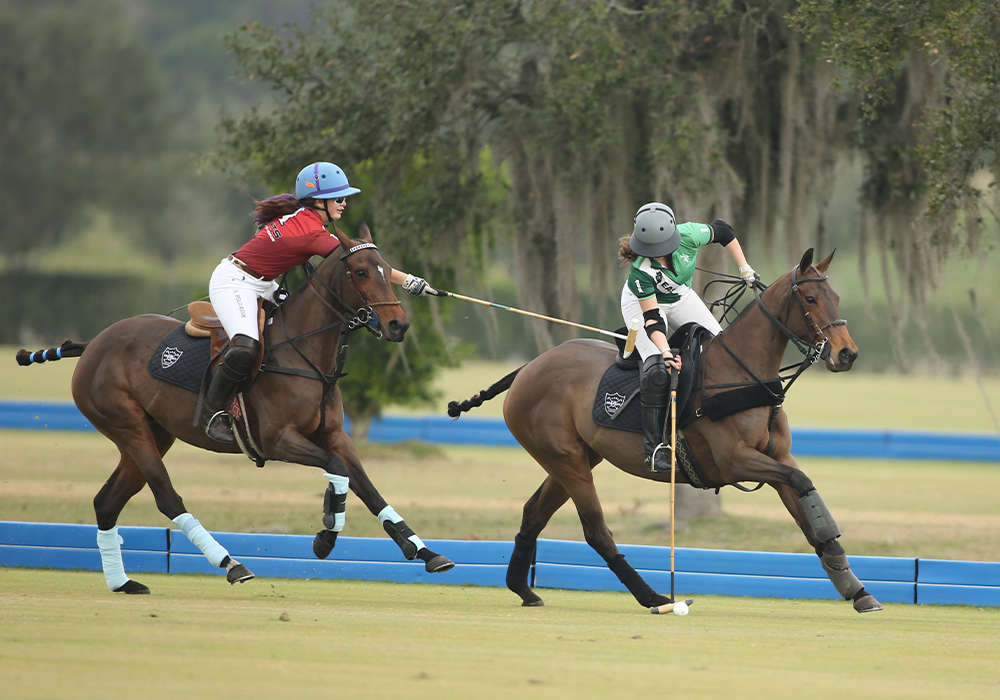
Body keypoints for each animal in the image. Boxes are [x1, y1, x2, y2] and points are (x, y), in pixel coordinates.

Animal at [18, 223, 454, 592]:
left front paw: (425, 552)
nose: (398, 326)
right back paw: (230, 564)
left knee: (107, 501)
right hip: (128, 426)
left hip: (153, 434)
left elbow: (366, 486)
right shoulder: (277, 440)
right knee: (166, 497)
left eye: (387, 270)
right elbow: (338, 470)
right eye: (361, 272)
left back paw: (123, 583)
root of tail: (94, 343)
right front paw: (326, 534)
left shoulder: (333, 435)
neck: (306, 352)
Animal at [450, 250, 880, 612]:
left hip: (575, 457)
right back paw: (654, 597)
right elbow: (804, 484)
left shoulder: (777, 457)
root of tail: (527, 368)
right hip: (566, 460)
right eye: (810, 299)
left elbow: (808, 514)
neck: (744, 374)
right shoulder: (735, 461)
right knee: (595, 530)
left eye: (835, 296)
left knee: (534, 512)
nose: (847, 353)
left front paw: (858, 590)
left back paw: (523, 588)